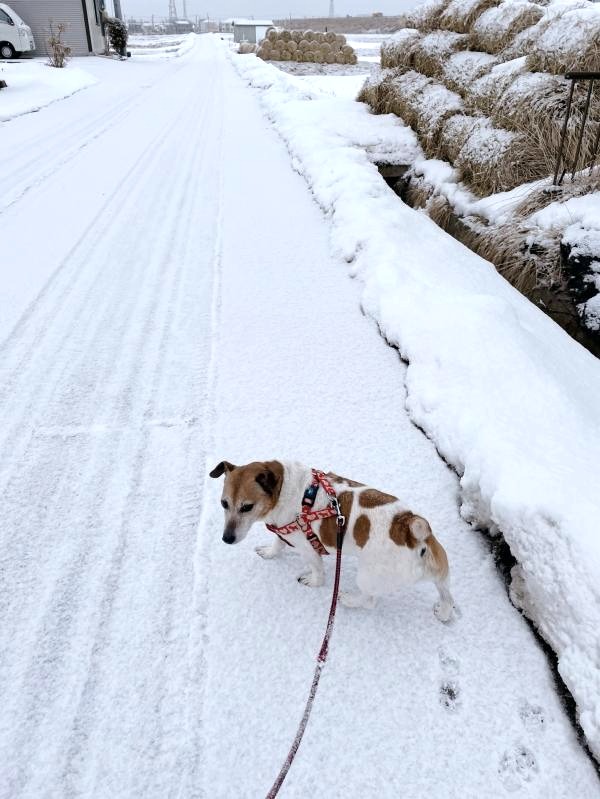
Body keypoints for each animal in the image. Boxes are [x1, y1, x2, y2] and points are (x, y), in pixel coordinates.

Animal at [211, 460, 454, 620]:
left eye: (247, 507)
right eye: (224, 503)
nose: (226, 539)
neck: (285, 488)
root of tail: (409, 527)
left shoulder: (307, 546)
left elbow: (317, 571)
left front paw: (313, 581)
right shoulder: (285, 531)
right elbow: (278, 543)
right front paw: (270, 553)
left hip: (367, 576)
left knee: (369, 600)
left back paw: (348, 600)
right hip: (439, 572)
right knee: (446, 595)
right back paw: (444, 612)